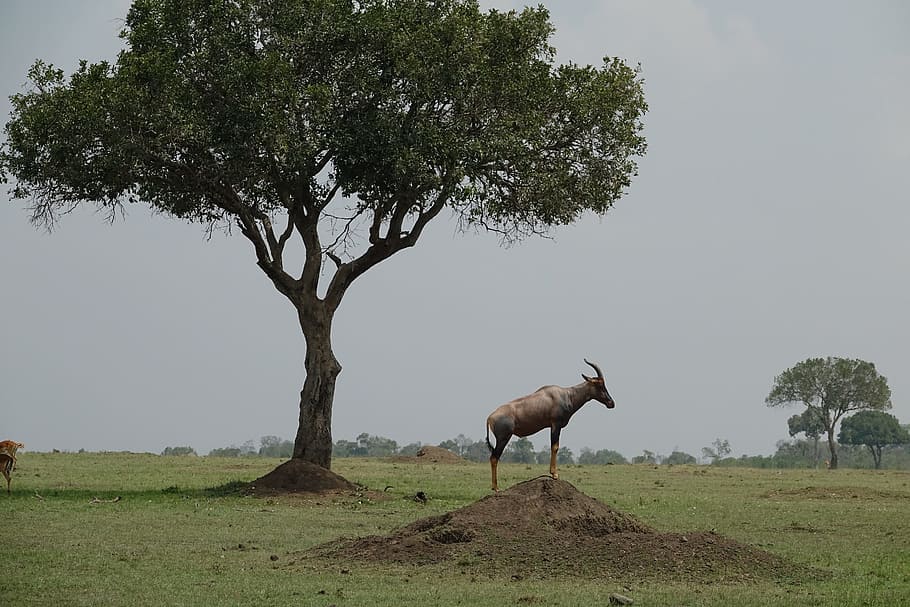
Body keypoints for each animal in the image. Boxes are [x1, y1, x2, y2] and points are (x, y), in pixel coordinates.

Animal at [485, 360, 615, 491]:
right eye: (599, 385)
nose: (611, 403)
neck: (566, 395)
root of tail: (490, 417)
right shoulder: (555, 424)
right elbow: (555, 447)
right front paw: (554, 474)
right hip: (503, 438)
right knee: (494, 458)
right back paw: (496, 488)